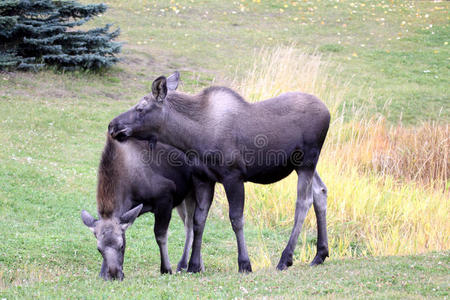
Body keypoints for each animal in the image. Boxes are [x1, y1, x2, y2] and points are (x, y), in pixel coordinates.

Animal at [81, 135, 200, 280]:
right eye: (99, 249)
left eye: (121, 246)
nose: (114, 274)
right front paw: (103, 273)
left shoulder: (165, 196)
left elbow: (160, 235)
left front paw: (166, 269)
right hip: (181, 199)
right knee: (189, 225)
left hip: (193, 192)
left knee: (191, 225)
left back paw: (186, 264)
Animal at [107, 71, 328, 274]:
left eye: (140, 108)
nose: (112, 125)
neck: (192, 137)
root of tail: (328, 112)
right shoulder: (203, 179)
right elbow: (198, 220)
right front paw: (194, 265)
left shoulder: (233, 177)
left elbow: (236, 219)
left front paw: (244, 263)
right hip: (304, 165)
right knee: (321, 192)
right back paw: (320, 254)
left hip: (306, 161)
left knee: (304, 201)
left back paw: (286, 258)